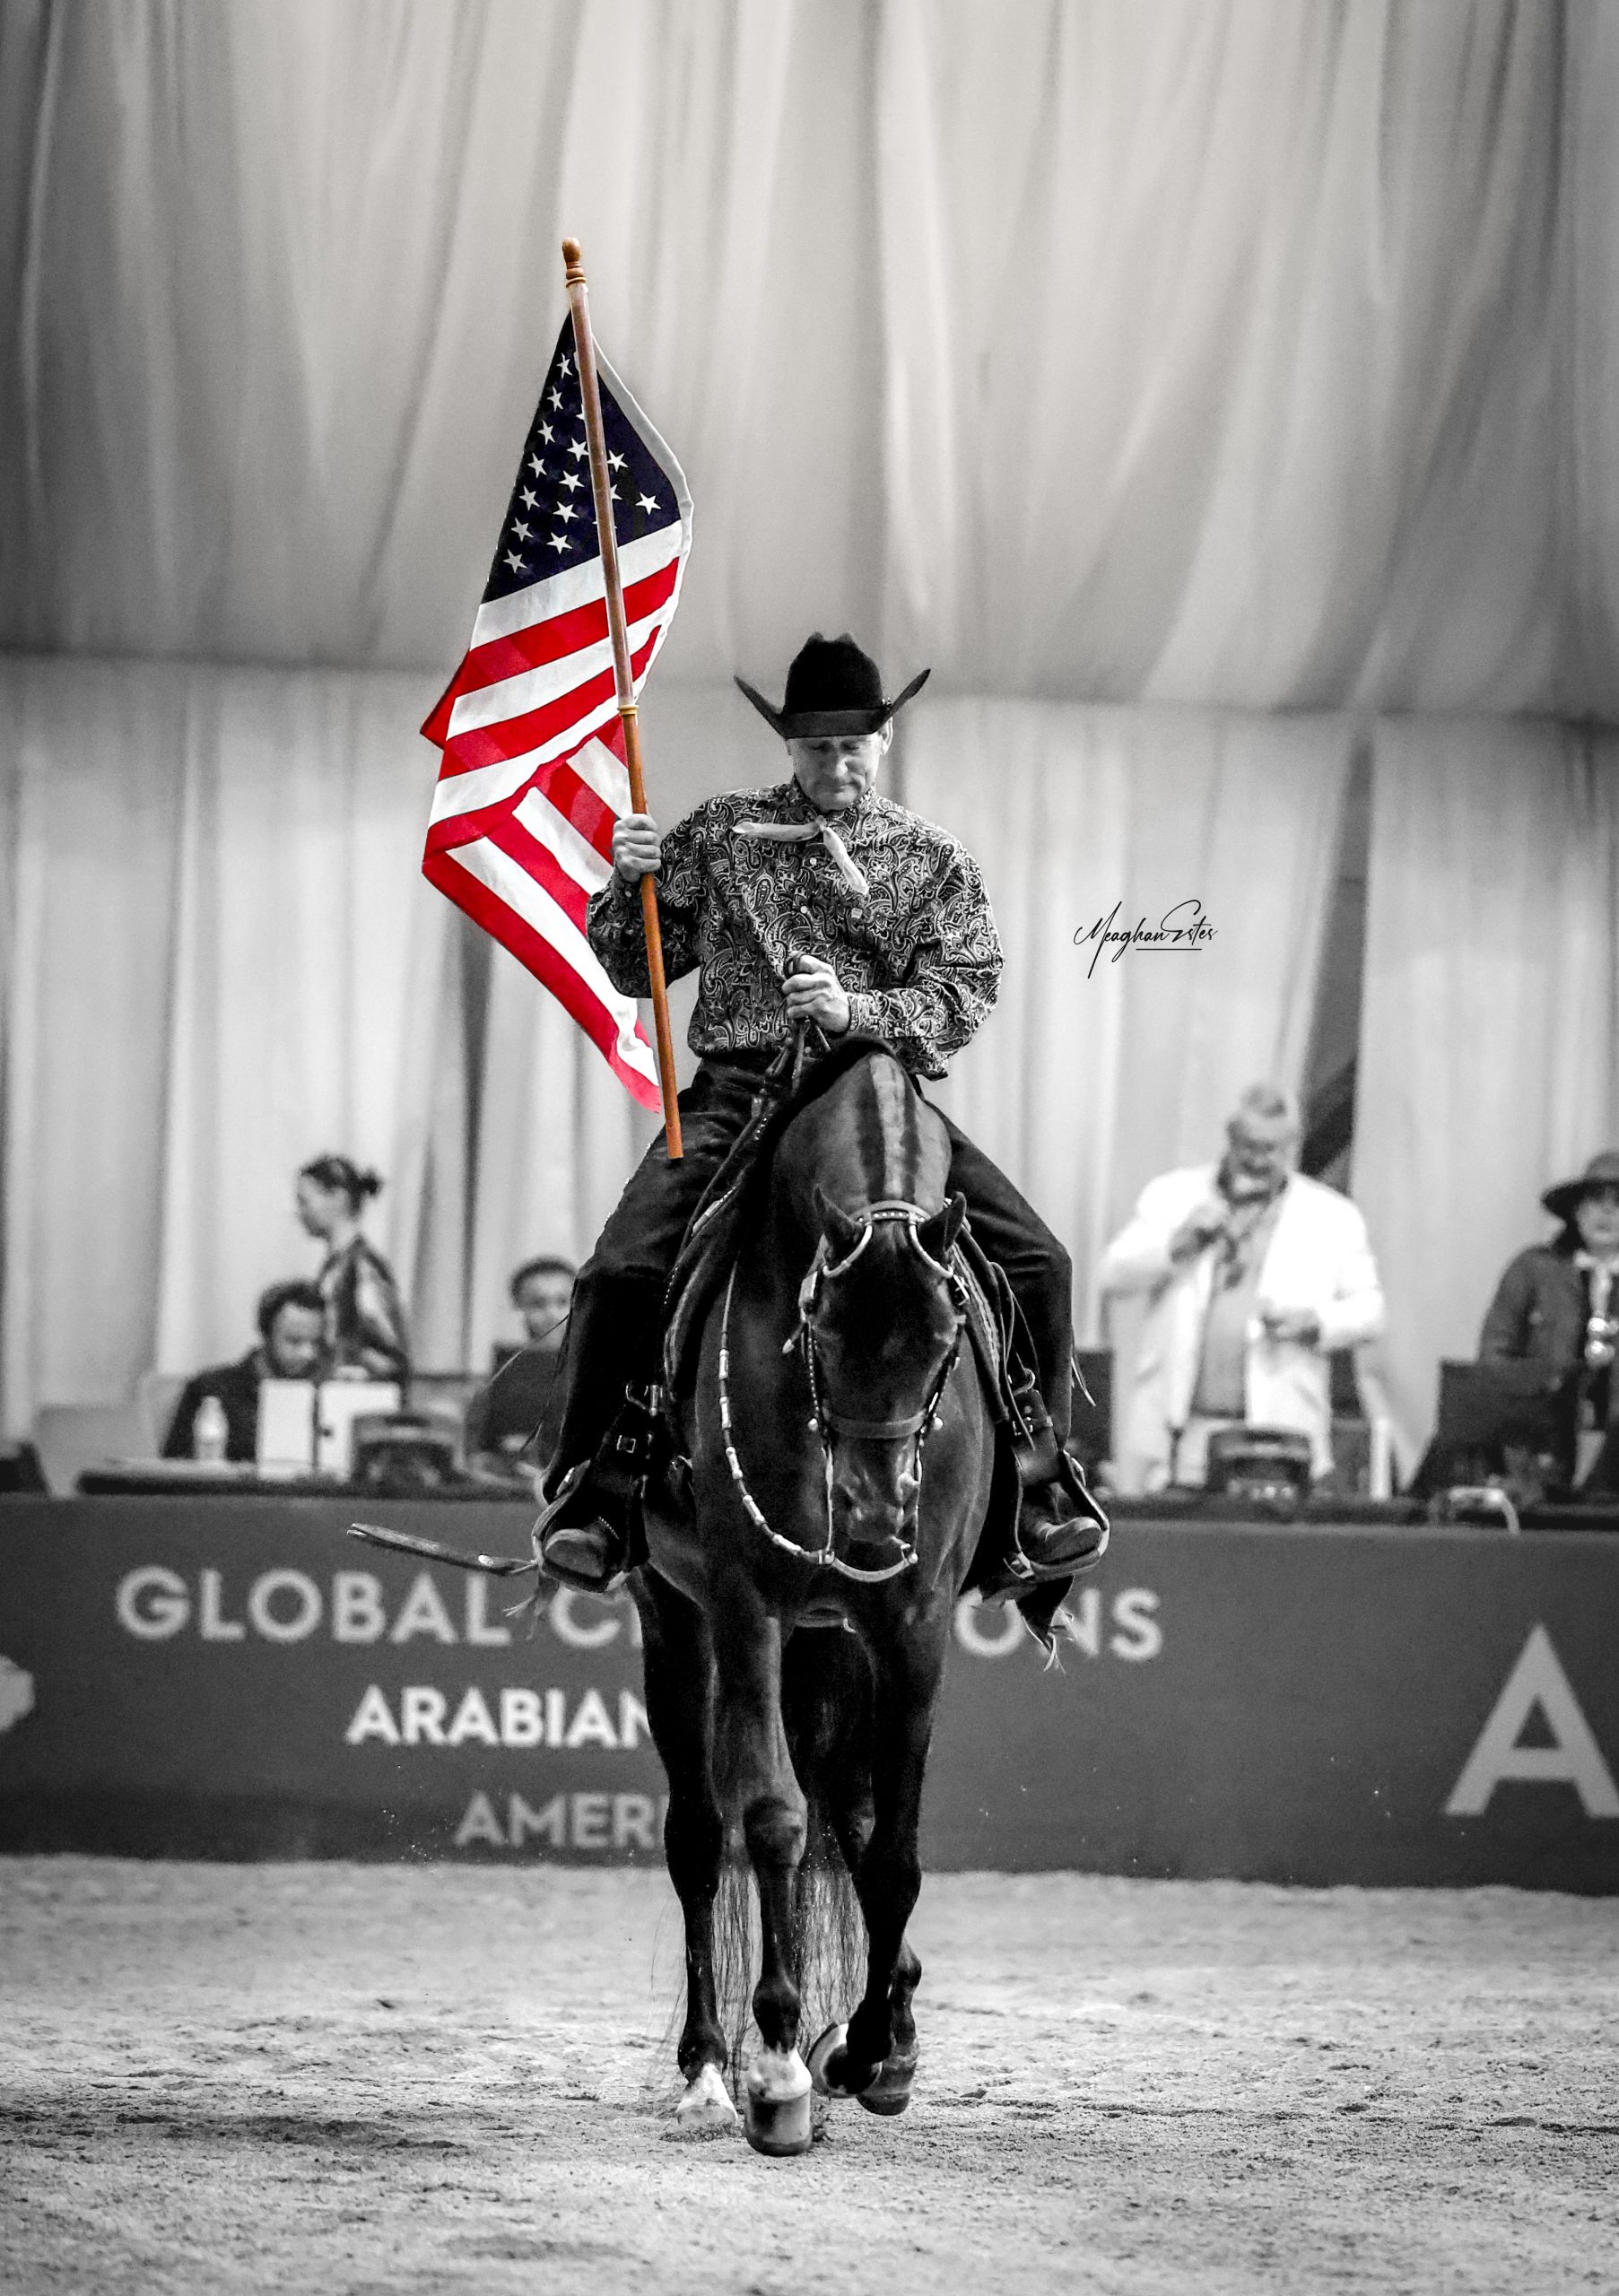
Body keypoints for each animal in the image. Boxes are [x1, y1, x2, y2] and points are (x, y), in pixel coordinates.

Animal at [635, 1042, 1001, 2155]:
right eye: (820, 1332)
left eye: (944, 1341)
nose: (874, 1522)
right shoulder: (747, 1603)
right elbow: (769, 1819)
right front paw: (781, 2065)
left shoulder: (912, 1627)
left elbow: (893, 1858)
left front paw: (876, 2047)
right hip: (675, 1620)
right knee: (699, 1837)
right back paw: (709, 2067)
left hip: (830, 1643)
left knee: (851, 1806)